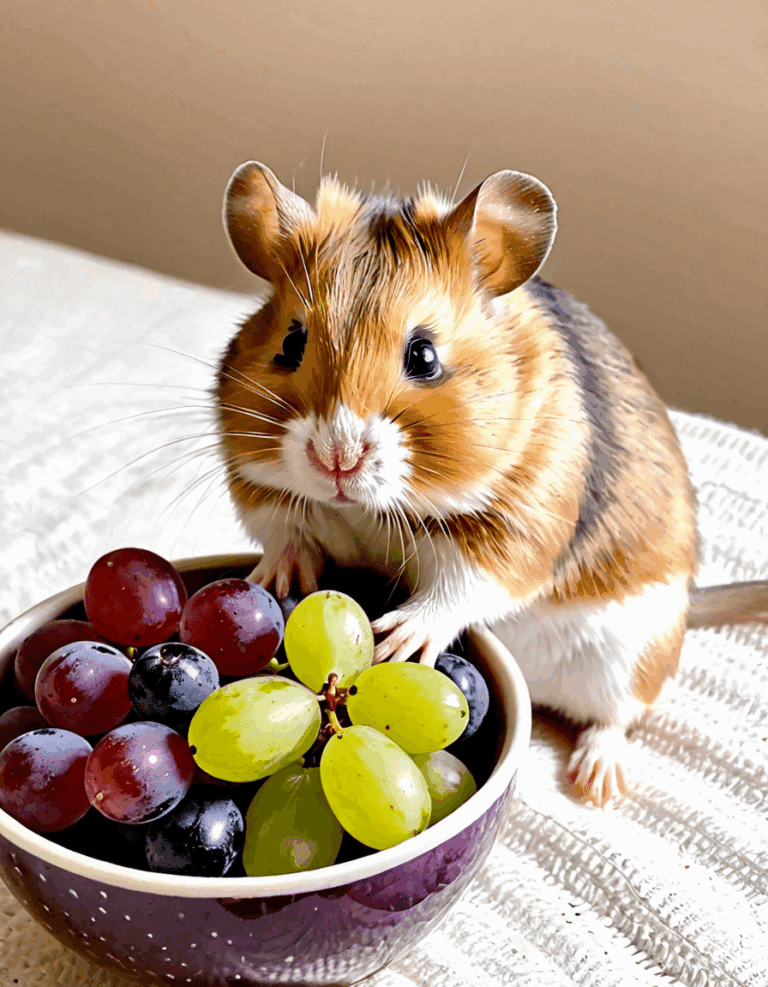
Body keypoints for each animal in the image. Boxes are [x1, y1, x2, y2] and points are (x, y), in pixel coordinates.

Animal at [215, 160, 768, 807]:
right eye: (291, 342)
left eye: (424, 356)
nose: (337, 462)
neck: (371, 508)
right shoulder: (255, 482)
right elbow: (283, 531)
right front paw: (271, 580)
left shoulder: (521, 525)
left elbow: (461, 586)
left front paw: (397, 641)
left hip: (631, 654)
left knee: (616, 718)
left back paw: (596, 784)